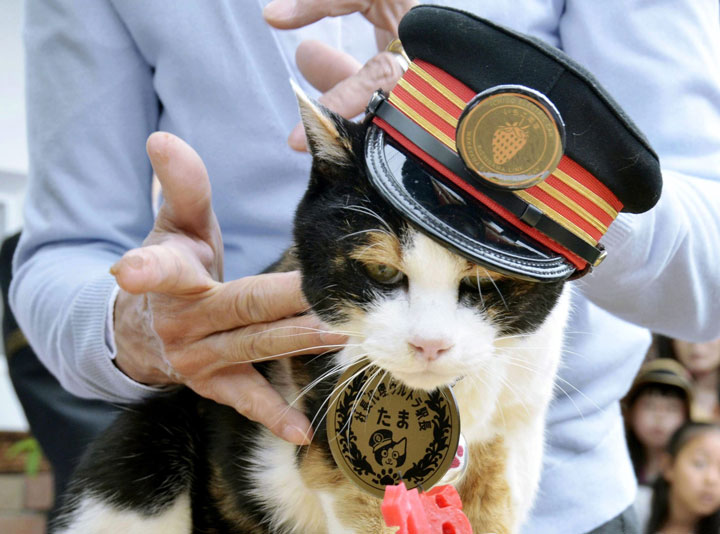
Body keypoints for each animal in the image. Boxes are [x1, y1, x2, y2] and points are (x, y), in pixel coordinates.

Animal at [52, 89, 568, 534]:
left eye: (482, 284)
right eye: (382, 271)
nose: (430, 343)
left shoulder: (513, 431)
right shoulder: (337, 443)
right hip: (141, 449)